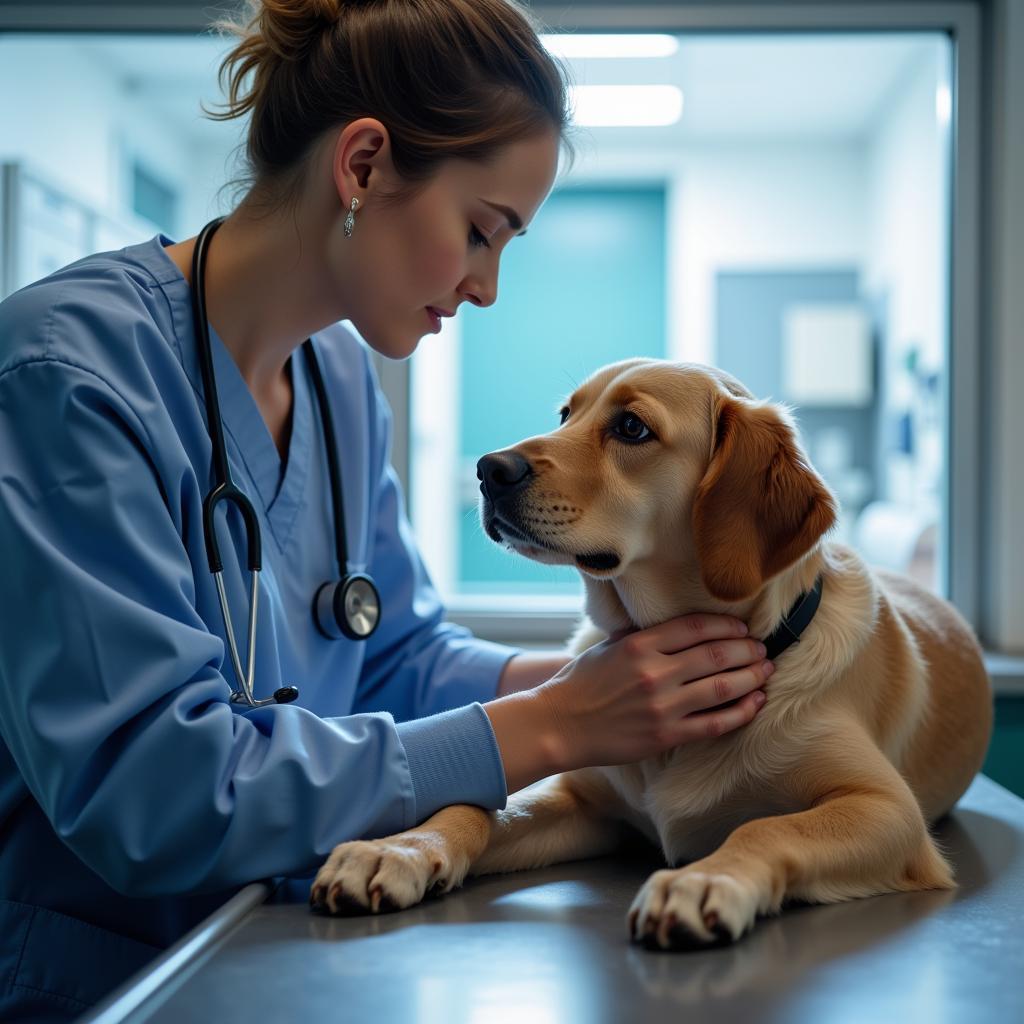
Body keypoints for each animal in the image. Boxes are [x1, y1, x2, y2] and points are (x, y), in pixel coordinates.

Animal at [309, 360, 991, 950]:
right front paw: (399, 848)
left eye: (632, 427)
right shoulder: (582, 800)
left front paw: (705, 880)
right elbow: (482, 806)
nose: (487, 469)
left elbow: (768, 825)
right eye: (566, 413)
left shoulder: (887, 809)